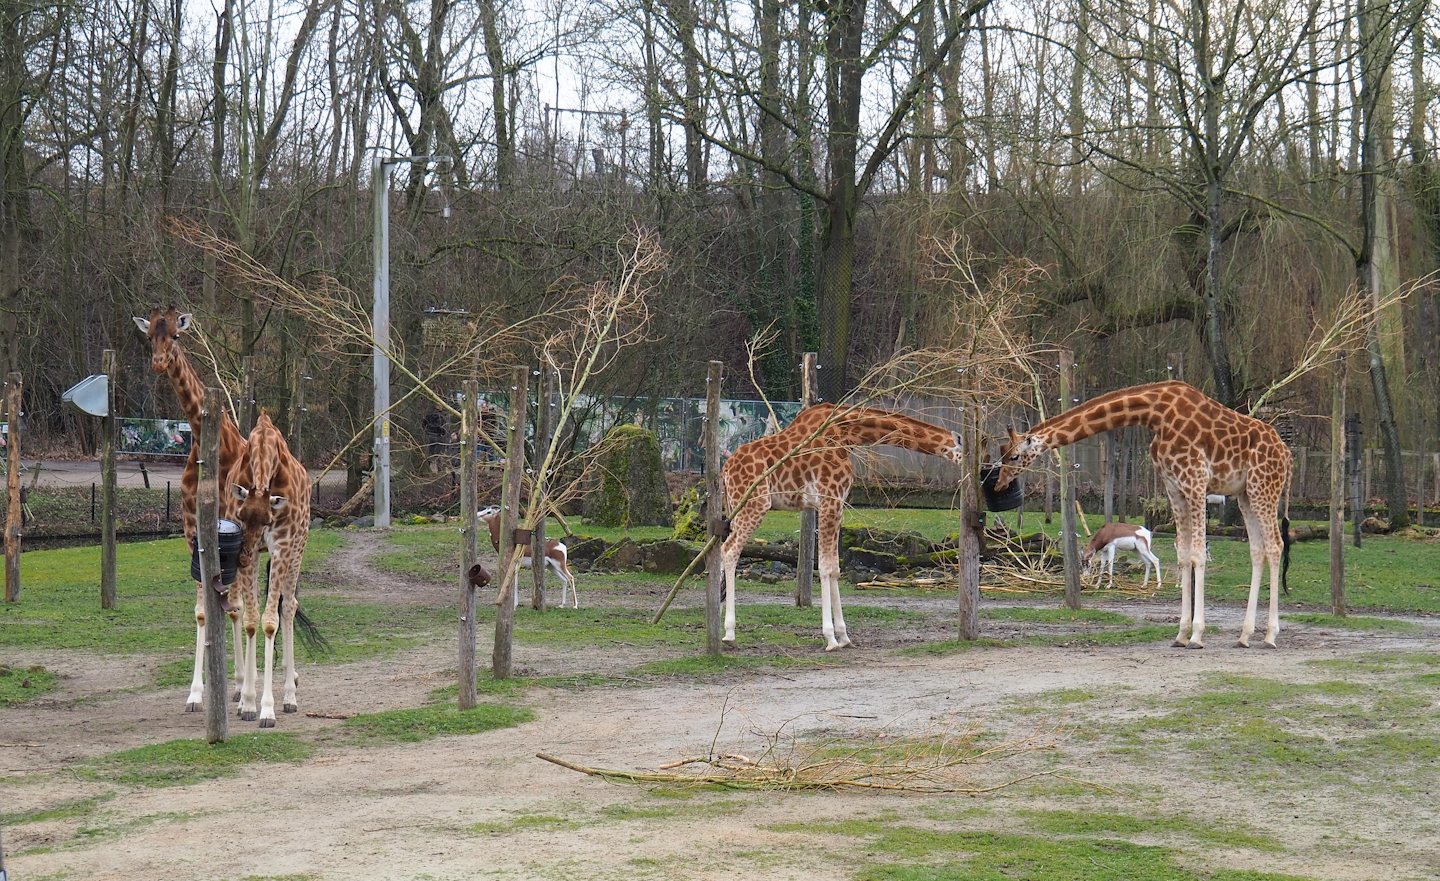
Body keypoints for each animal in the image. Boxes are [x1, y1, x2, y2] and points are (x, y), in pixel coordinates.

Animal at [133, 307, 251, 712]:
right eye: (149, 336)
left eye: (177, 336)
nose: (158, 362)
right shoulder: (189, 528)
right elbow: (203, 611)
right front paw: (197, 693)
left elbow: (233, 604)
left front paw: (235, 688)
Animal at [231, 410, 312, 726]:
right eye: (241, 515)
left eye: (267, 519)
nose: (241, 556)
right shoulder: (252, 552)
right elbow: (252, 620)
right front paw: (247, 703)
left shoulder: (281, 547)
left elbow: (270, 621)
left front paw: (268, 708)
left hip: (298, 547)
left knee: (288, 607)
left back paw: (290, 695)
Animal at [720, 404, 964, 651]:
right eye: (966, 452)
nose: (968, 475)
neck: (847, 433)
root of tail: (725, 470)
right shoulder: (830, 500)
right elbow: (825, 567)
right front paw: (830, 638)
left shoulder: (837, 504)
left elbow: (836, 567)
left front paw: (844, 636)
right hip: (756, 504)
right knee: (729, 550)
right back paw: (729, 632)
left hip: (735, 507)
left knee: (722, 548)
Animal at [994, 381, 1293, 648]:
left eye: (1014, 457)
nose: (999, 485)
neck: (1154, 415)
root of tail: (1287, 455)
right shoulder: (1174, 487)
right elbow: (1183, 555)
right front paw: (1181, 634)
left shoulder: (1196, 481)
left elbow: (1197, 554)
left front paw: (1196, 636)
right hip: (1245, 493)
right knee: (1258, 549)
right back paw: (1244, 636)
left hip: (1264, 487)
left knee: (1275, 546)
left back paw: (1270, 636)